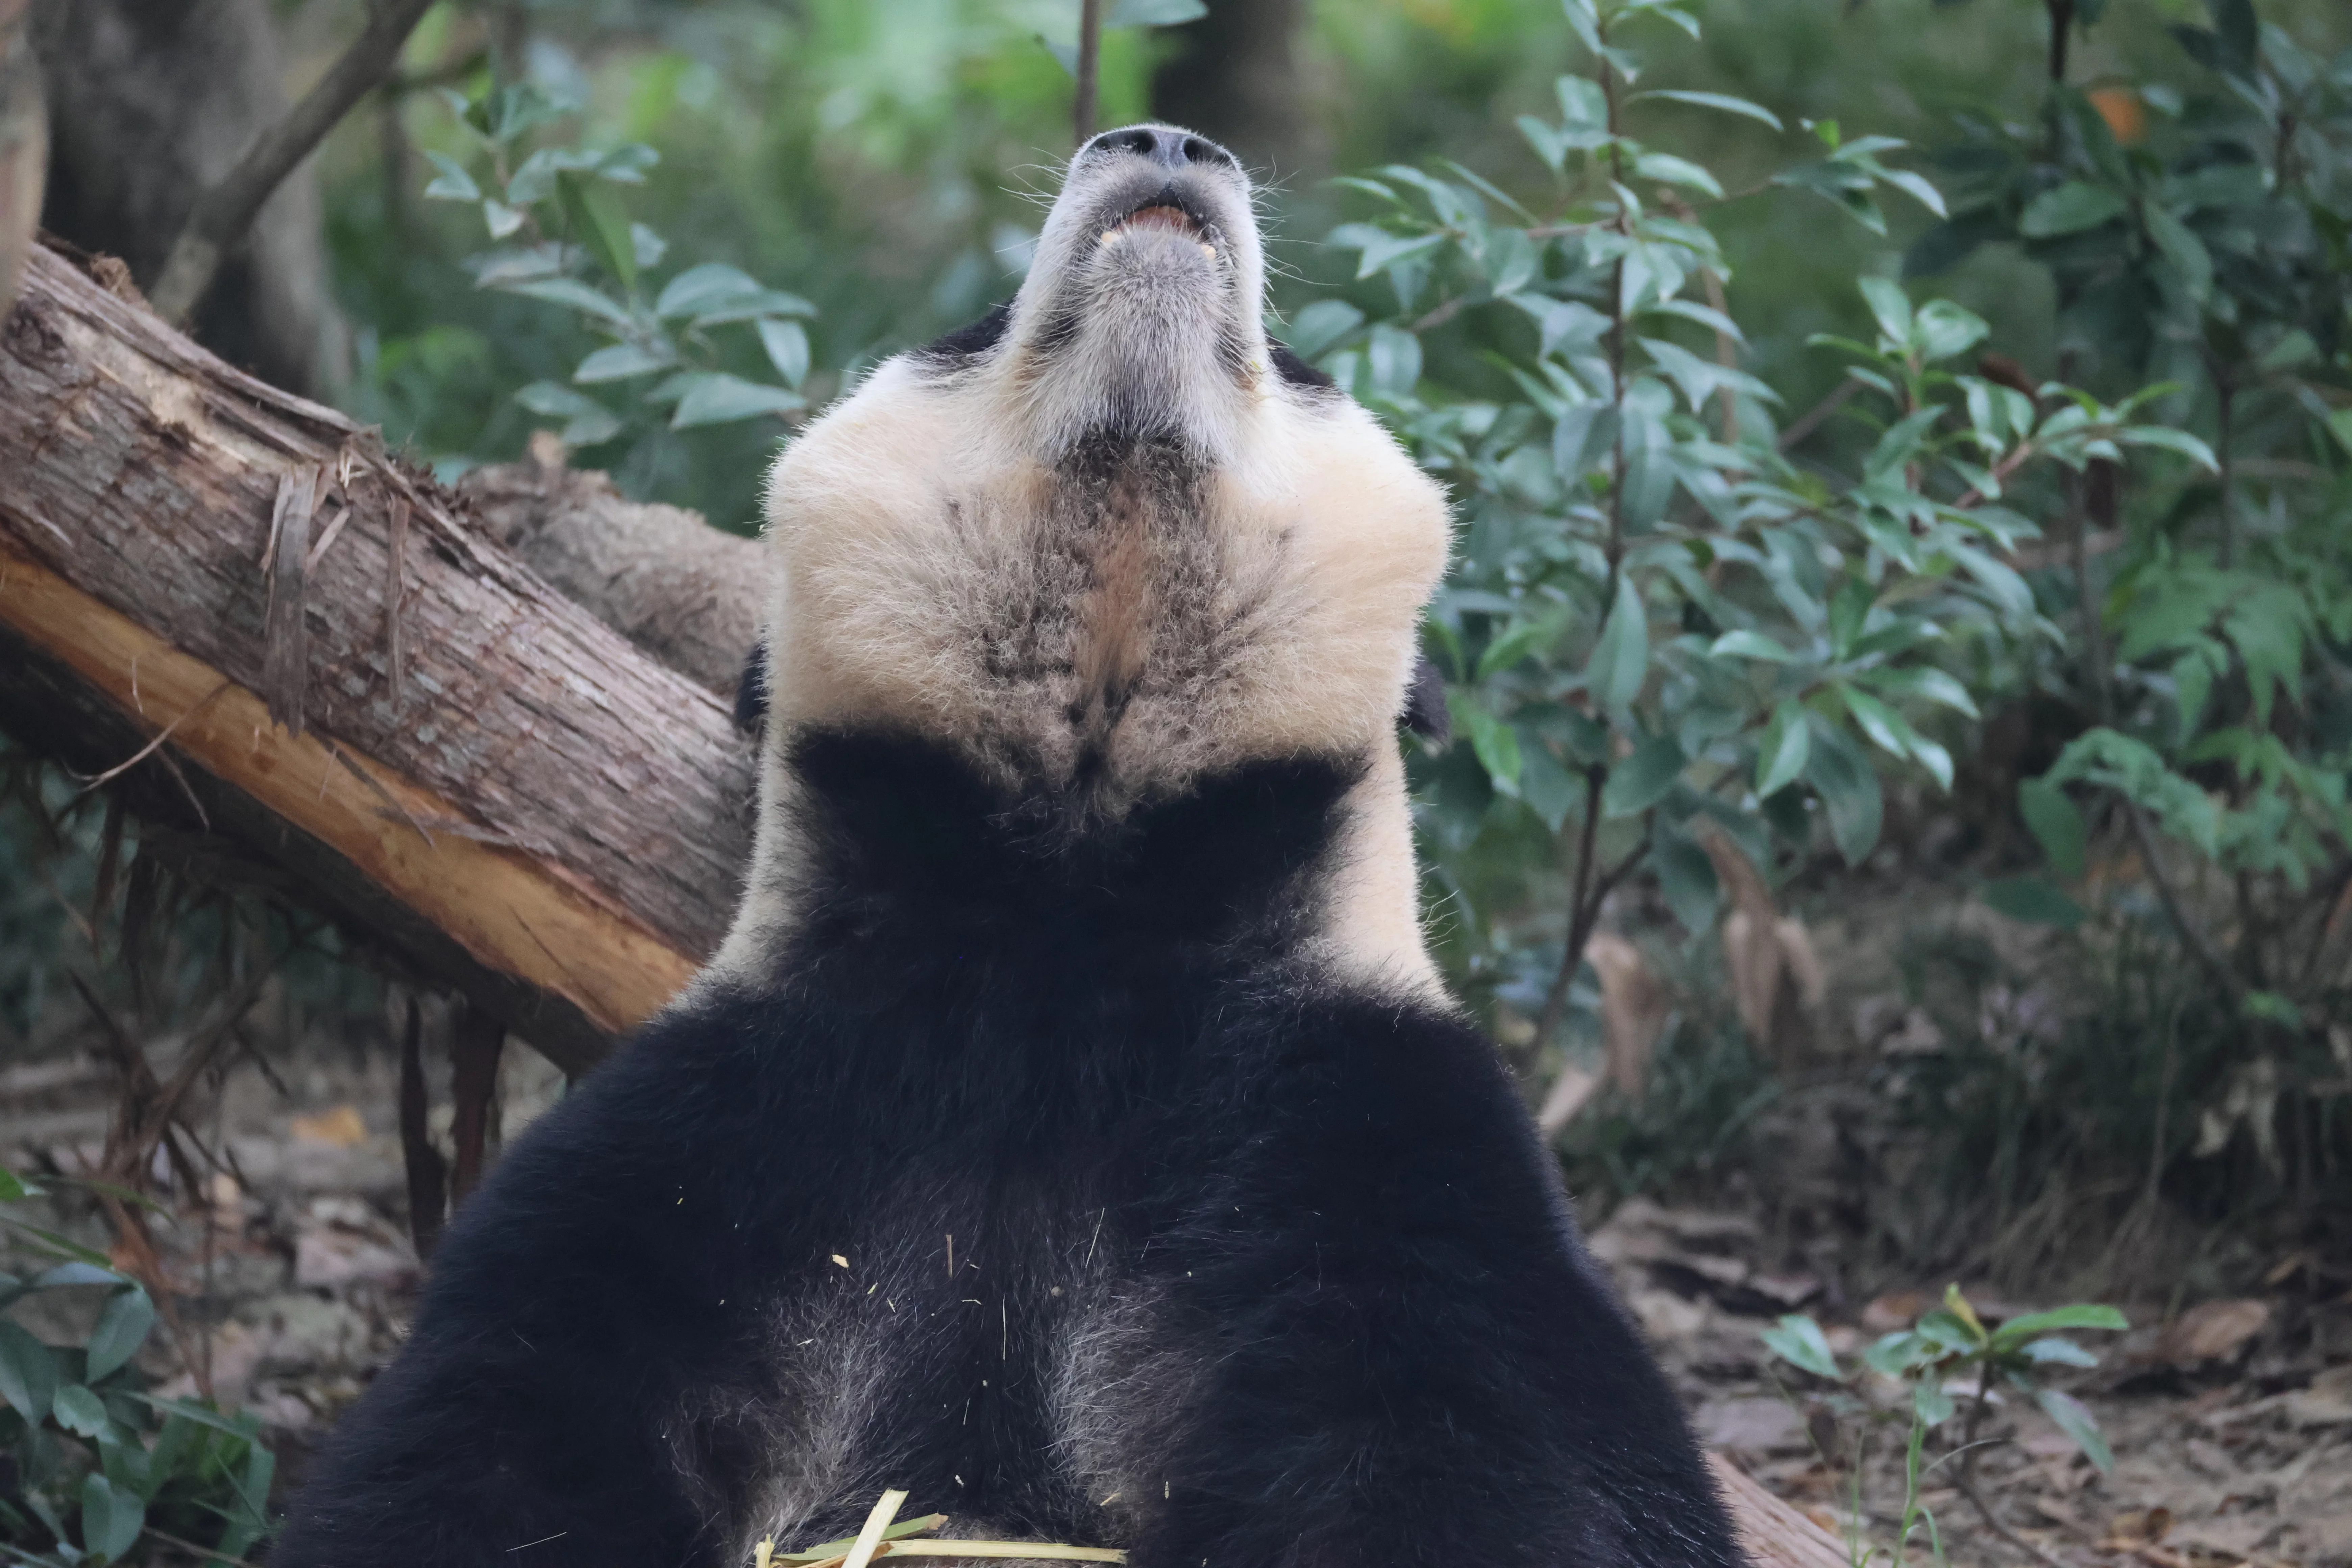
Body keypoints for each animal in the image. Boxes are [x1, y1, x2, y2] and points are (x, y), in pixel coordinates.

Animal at [274, 124, 1740, 1568]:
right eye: (972, 330)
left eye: (1299, 363)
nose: (1168, 142)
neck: (1073, 898)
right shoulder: (747, 1128)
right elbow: (496, 1436)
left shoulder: (1367, 1141)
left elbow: (1462, 1452)